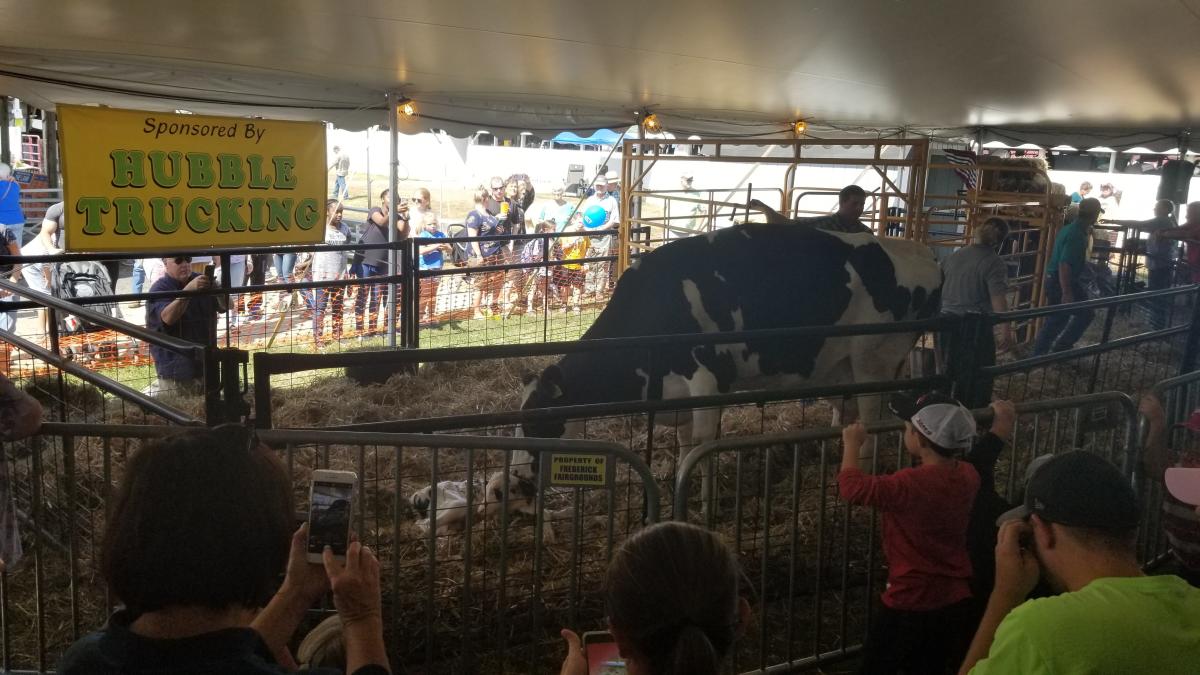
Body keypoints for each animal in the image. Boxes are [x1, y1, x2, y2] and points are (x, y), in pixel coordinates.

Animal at [520, 220, 940, 451]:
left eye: (541, 425)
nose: (523, 488)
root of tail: (921, 251)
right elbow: (687, 445)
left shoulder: (709, 379)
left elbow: (702, 448)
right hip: (840, 370)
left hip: (874, 362)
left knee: (872, 419)